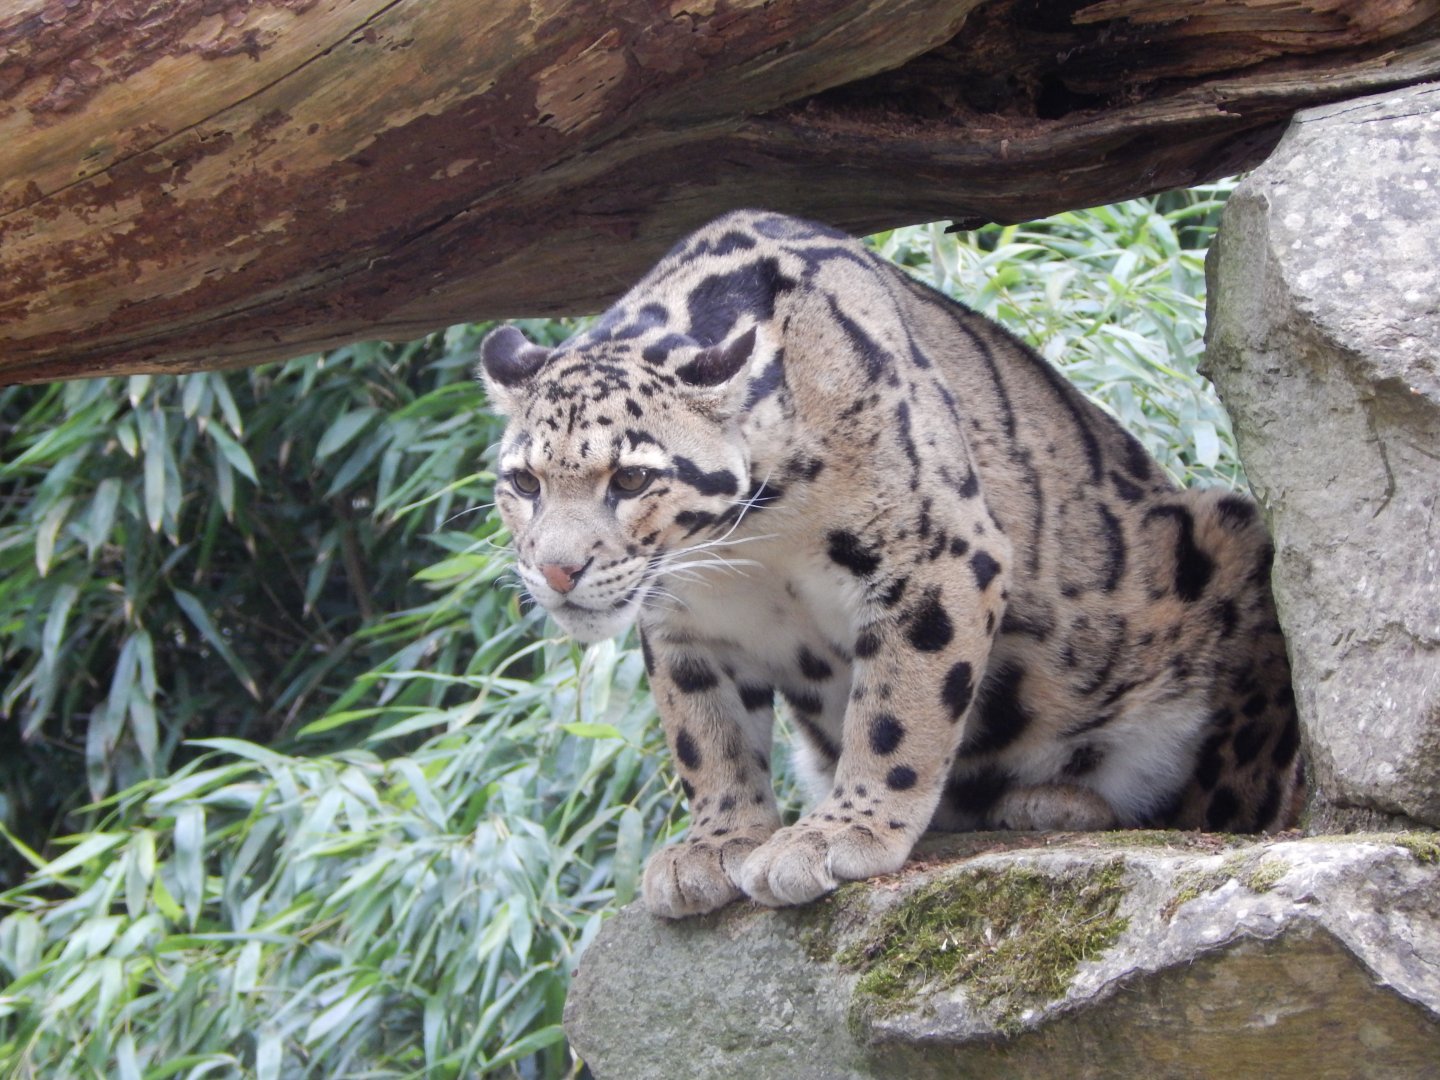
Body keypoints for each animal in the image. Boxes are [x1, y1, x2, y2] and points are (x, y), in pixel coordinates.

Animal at [478, 209, 1304, 919]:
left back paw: (1059, 799)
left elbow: (897, 710)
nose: (557, 571)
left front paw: (841, 832)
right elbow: (705, 734)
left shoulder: (937, 555)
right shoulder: (683, 623)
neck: (753, 542)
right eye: (524, 482)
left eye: (631, 478)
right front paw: (716, 844)